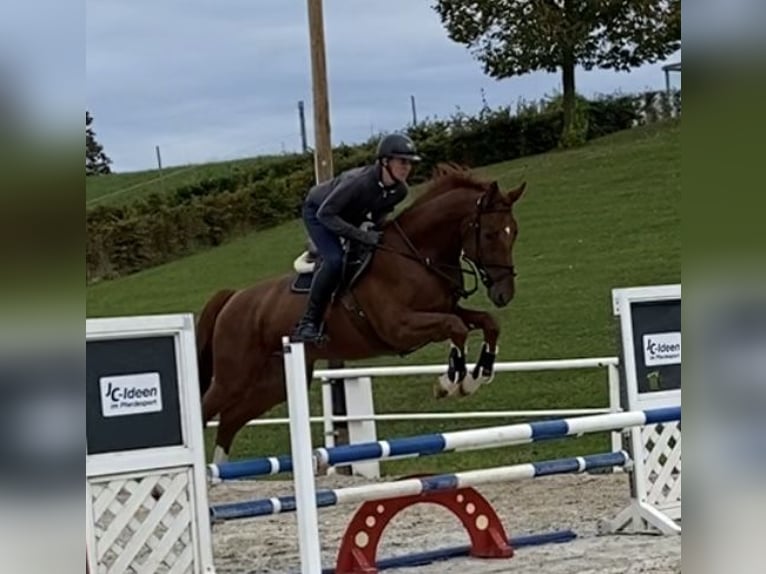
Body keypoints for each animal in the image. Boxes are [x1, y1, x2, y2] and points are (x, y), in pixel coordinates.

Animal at [196, 165, 528, 464]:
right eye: (490, 234)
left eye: (514, 233)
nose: (504, 294)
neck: (418, 255)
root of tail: (233, 297)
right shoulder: (399, 328)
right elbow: (456, 327)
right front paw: (449, 383)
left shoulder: (445, 308)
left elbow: (487, 322)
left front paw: (477, 377)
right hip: (233, 378)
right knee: (205, 409)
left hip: (274, 382)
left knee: (230, 419)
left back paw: (216, 475)